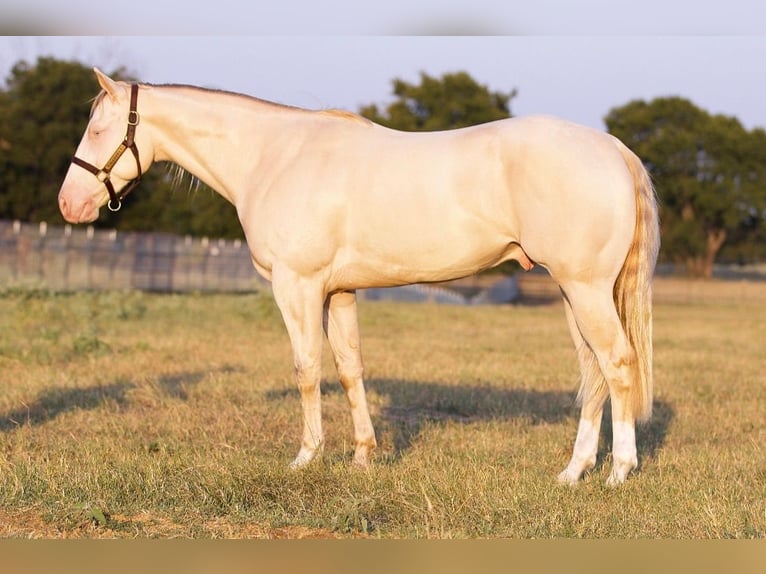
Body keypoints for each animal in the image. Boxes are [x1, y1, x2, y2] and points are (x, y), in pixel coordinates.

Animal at [58, 70, 660, 488]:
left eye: (97, 129)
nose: (69, 204)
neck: (273, 156)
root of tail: (612, 148)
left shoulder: (297, 286)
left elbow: (307, 369)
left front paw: (305, 458)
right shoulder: (339, 292)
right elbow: (350, 370)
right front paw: (363, 457)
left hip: (584, 289)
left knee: (617, 364)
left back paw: (618, 471)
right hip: (574, 292)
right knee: (594, 374)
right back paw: (572, 472)